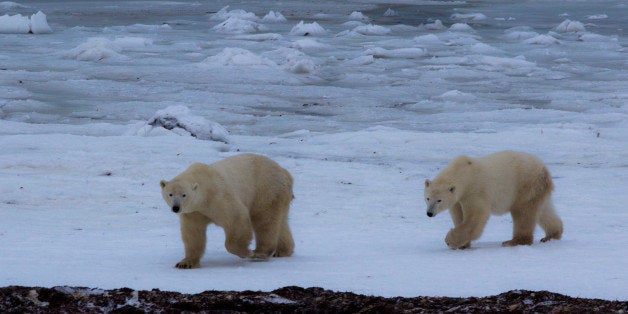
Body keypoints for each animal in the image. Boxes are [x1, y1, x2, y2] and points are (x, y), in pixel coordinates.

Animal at [157, 153, 294, 268]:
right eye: (170, 194)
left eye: (184, 195)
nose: (176, 208)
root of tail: (285, 173)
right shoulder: (193, 212)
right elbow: (193, 233)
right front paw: (185, 263)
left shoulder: (218, 197)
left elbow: (236, 218)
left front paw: (246, 252)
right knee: (280, 222)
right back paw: (283, 251)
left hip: (266, 191)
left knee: (265, 220)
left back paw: (260, 253)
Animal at [422, 151, 564, 249]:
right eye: (427, 198)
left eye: (439, 200)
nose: (429, 213)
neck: (465, 173)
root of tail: (544, 170)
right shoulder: (458, 199)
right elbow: (458, 215)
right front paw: (463, 244)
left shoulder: (475, 191)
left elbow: (476, 217)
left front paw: (450, 240)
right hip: (536, 189)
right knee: (544, 211)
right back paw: (551, 235)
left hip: (525, 186)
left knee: (524, 213)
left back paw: (512, 241)